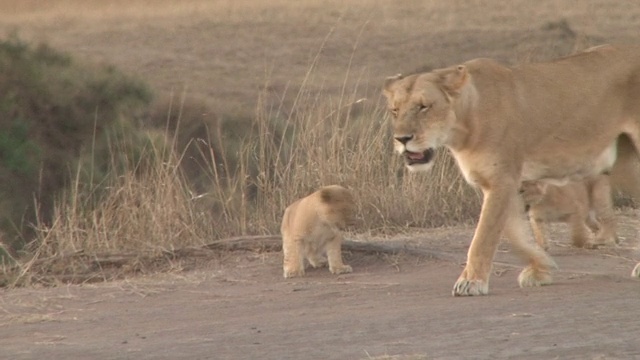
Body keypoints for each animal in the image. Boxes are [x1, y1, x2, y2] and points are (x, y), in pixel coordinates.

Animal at [382, 45, 640, 296]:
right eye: (395, 110)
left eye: (423, 107)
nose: (401, 139)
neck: (463, 126)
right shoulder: (499, 184)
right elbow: (513, 234)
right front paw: (542, 269)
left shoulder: (502, 179)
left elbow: (484, 236)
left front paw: (471, 281)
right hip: (626, 164)